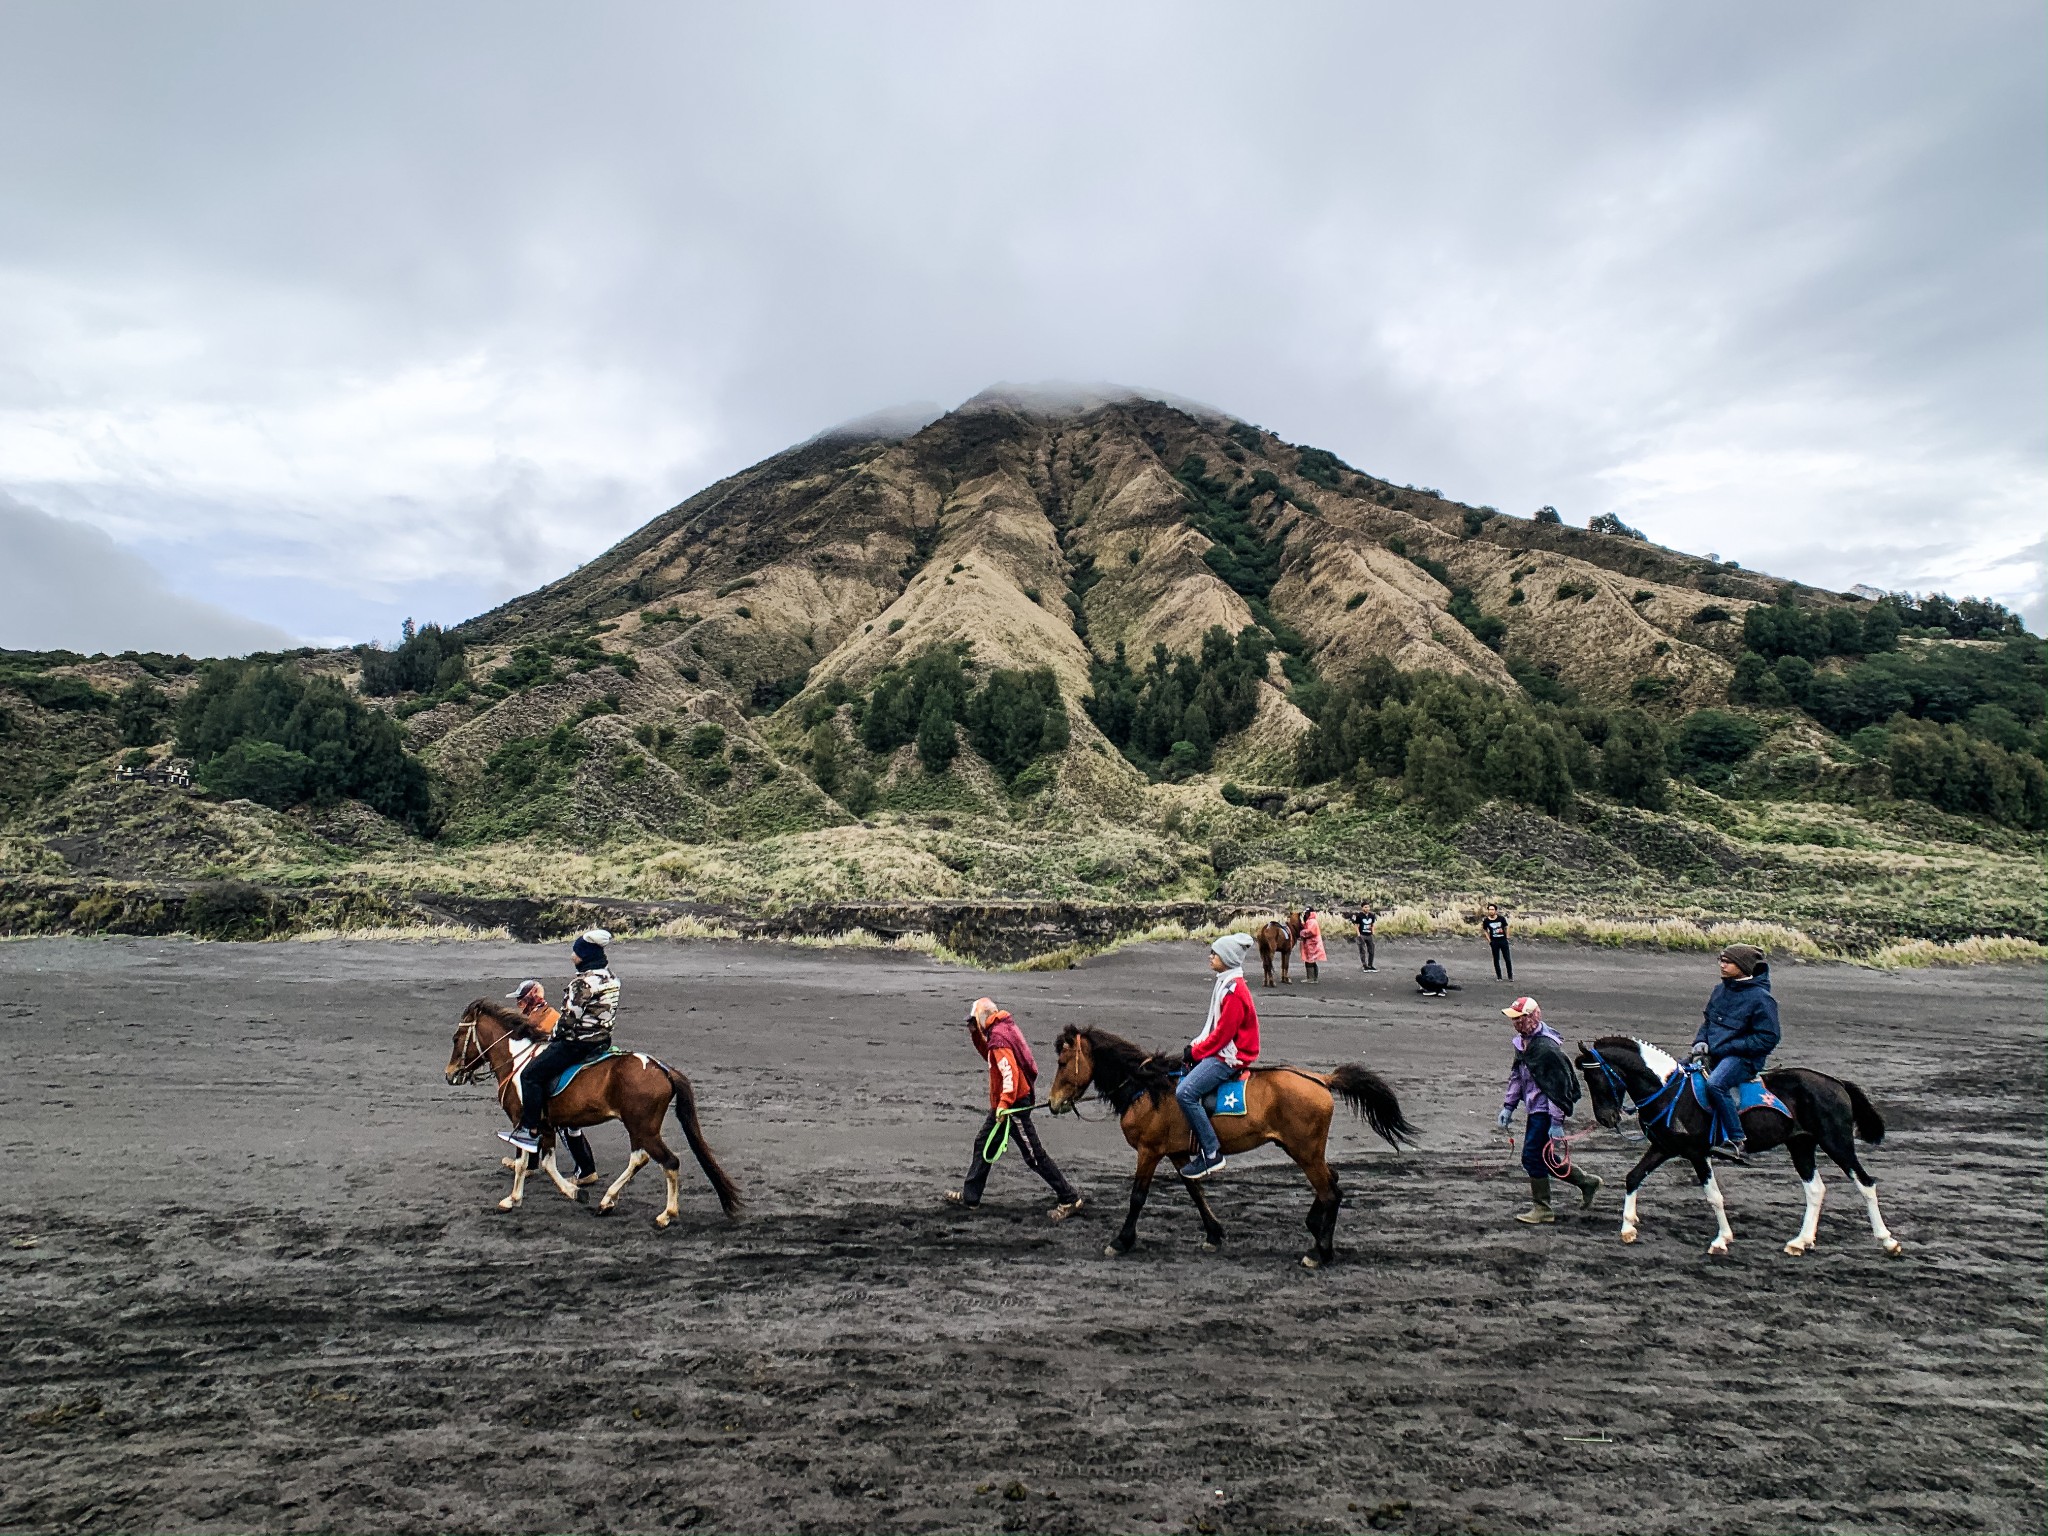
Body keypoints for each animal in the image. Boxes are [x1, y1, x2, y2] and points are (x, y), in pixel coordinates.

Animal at [444, 1003, 741, 1236]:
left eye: (457, 1037)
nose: (450, 1074)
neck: (518, 1063)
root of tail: (662, 1068)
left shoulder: (523, 1122)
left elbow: (524, 1162)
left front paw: (515, 1199)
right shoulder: (545, 1126)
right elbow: (545, 1163)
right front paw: (570, 1192)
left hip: (643, 1128)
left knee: (669, 1162)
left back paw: (666, 1215)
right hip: (640, 1128)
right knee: (640, 1158)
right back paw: (607, 1201)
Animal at [1048, 1028, 1417, 1269]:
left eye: (1063, 1062)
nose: (1052, 1103)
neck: (1148, 1089)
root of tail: (1321, 1080)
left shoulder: (1149, 1151)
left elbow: (1138, 1196)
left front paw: (1121, 1241)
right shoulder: (1179, 1153)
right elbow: (1195, 1190)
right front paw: (1214, 1233)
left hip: (1305, 1151)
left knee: (1330, 1192)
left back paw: (1319, 1252)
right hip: (1304, 1149)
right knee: (1333, 1182)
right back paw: (1315, 1229)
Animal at [1564, 1036, 1900, 1261]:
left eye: (1596, 1077)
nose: (1606, 1119)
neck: (1670, 1092)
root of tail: (1837, 1083)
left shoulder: (1696, 1153)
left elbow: (1714, 1197)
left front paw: (1721, 1240)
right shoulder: (1664, 1147)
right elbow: (1633, 1177)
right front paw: (1628, 1228)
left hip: (1836, 1142)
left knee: (1866, 1183)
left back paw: (1887, 1240)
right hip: (1801, 1145)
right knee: (1816, 1190)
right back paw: (1800, 1241)